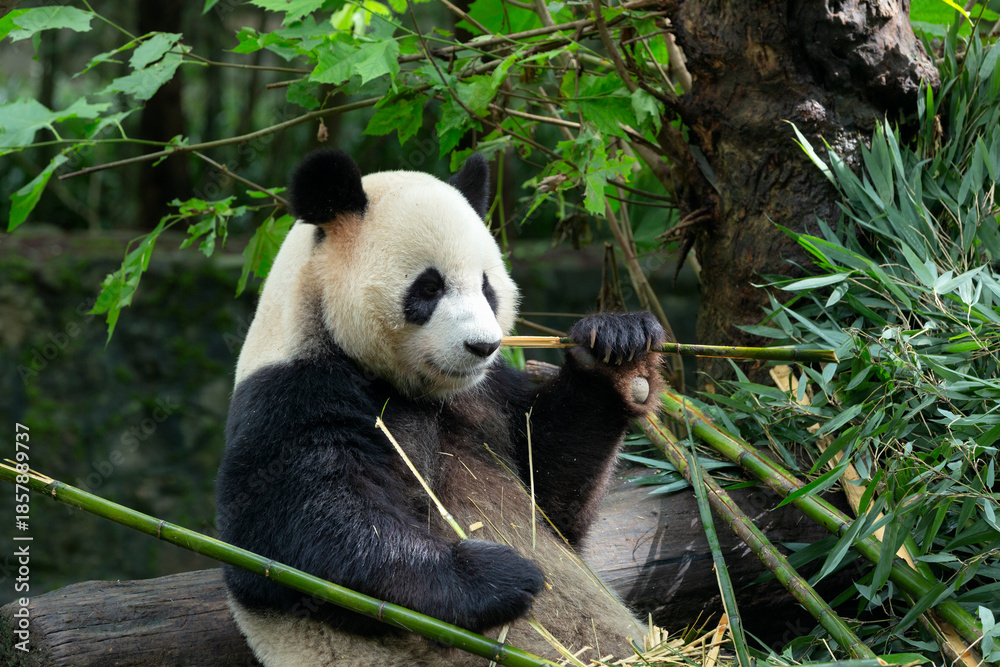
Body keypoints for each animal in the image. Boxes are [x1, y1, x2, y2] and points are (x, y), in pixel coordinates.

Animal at [216, 150, 666, 666]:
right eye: (429, 288)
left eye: (488, 287)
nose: (483, 346)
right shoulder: (291, 395)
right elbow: (288, 533)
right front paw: (498, 574)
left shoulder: (484, 395)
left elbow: (553, 499)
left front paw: (616, 350)